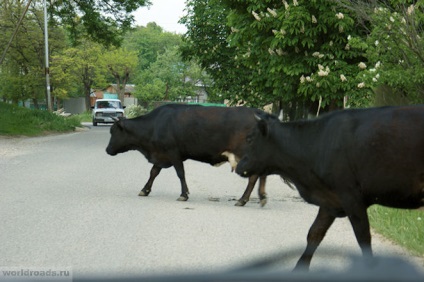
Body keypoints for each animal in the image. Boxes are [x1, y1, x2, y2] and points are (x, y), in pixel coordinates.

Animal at [106, 103, 278, 207]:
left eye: (113, 131)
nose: (107, 150)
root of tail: (260, 113)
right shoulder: (162, 155)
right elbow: (153, 172)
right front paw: (145, 190)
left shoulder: (173, 153)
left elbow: (180, 173)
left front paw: (184, 194)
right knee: (261, 175)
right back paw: (261, 197)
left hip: (247, 155)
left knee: (253, 177)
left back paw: (243, 199)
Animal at [235, 106, 424, 270]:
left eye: (250, 138)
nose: (238, 167)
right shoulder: (330, 200)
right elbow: (314, 234)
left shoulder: (351, 197)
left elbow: (363, 239)